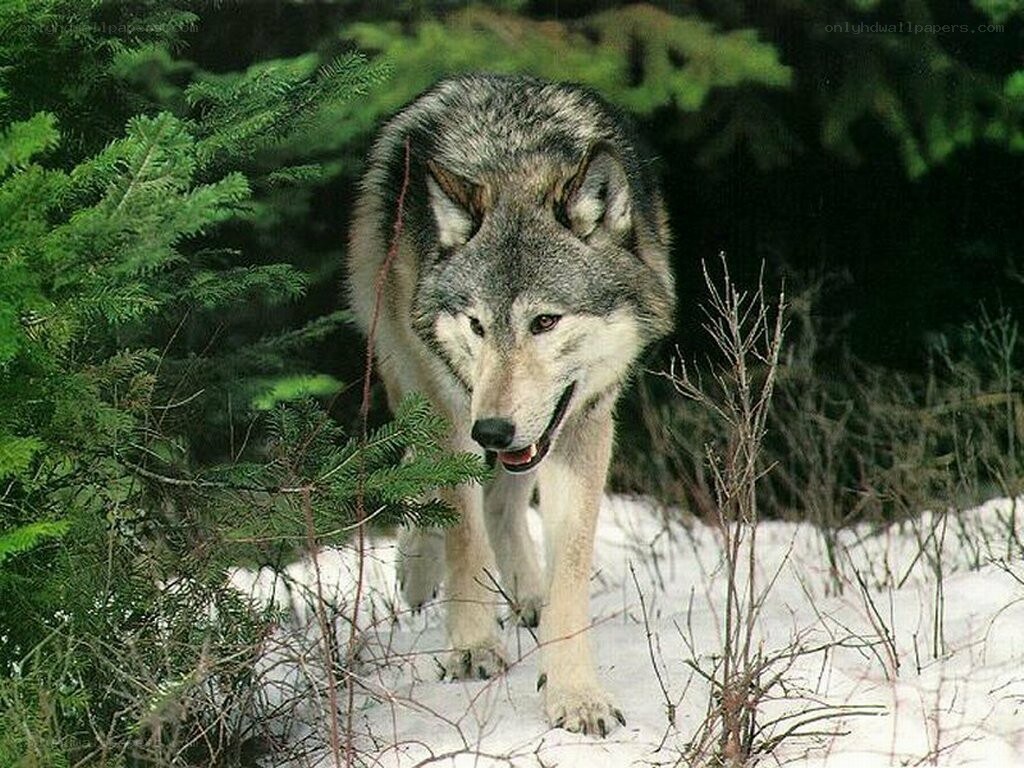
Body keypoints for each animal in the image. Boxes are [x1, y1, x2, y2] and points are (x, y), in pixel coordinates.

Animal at [347, 73, 675, 735]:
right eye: (476, 324)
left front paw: (575, 693)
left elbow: (569, 565)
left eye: (545, 321)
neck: (517, 160)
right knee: (423, 472)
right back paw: (418, 569)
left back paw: (526, 592)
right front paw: (471, 645)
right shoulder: (455, 413)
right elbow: (464, 534)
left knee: (502, 501)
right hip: (407, 368)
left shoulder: (582, 424)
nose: (492, 433)